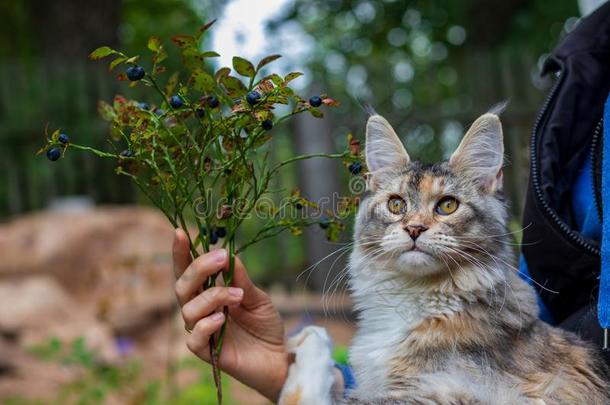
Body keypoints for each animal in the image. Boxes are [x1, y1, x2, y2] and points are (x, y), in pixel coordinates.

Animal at [276, 110, 608, 404]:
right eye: (396, 205)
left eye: (447, 206)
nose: (414, 228)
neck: (416, 298)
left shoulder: (445, 392)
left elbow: (305, 394)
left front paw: (311, 342)